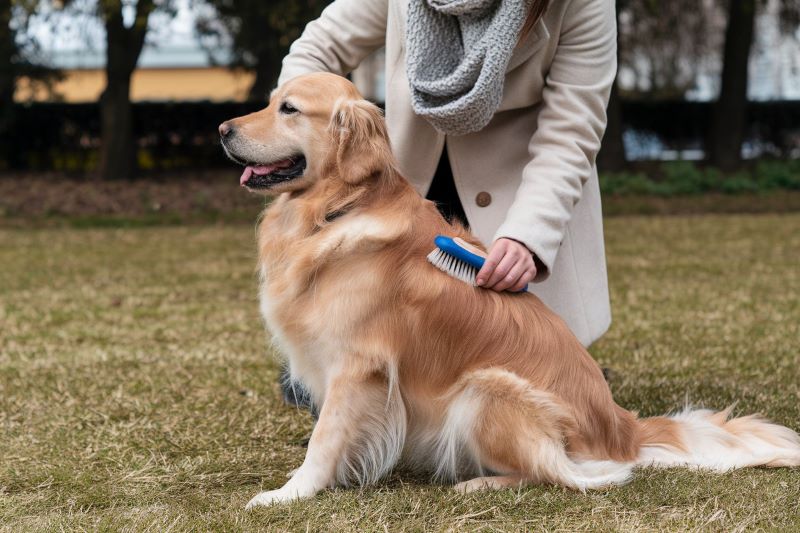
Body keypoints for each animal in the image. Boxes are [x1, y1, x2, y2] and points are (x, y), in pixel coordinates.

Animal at [219, 71, 800, 508]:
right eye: (270, 101)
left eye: (289, 109)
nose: (222, 128)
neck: (339, 209)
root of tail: (622, 428)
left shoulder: (356, 366)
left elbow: (325, 441)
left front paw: (290, 493)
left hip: (486, 387)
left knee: (573, 475)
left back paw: (480, 482)